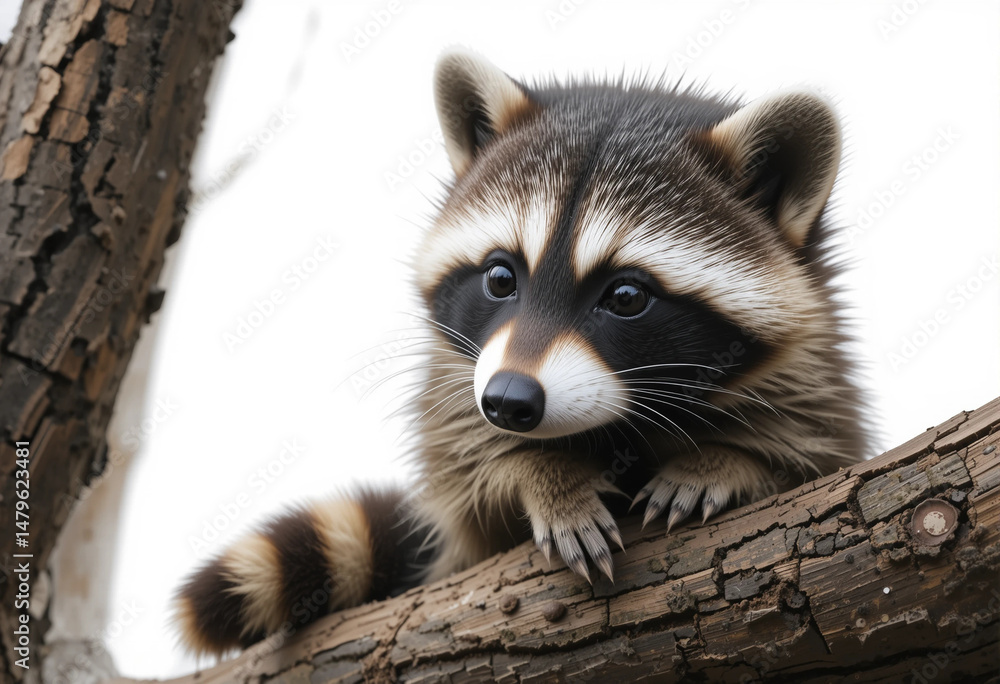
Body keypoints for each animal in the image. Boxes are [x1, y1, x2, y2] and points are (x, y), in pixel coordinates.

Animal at [174, 50, 868, 655]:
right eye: (501, 277)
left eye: (626, 296)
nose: (508, 401)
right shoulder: (455, 388)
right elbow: (470, 479)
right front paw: (539, 472)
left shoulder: (815, 377)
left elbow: (816, 456)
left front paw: (731, 460)